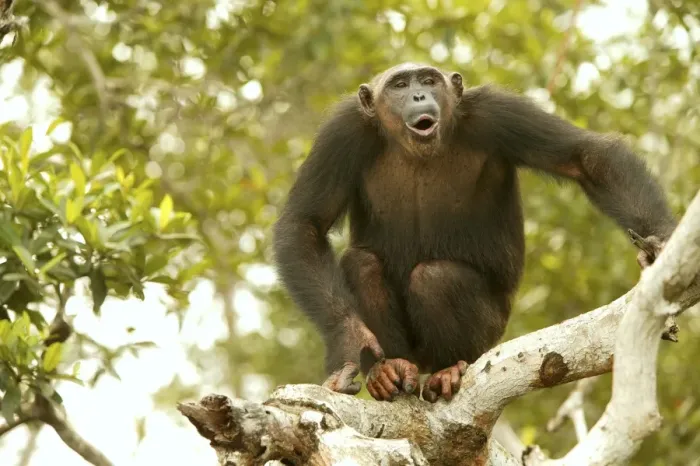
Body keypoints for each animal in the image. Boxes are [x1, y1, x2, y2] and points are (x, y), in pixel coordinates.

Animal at [272, 63, 676, 403]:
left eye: (429, 80)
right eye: (400, 85)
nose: (419, 96)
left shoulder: (499, 113)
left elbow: (586, 157)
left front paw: (660, 243)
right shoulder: (341, 134)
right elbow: (305, 224)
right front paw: (349, 339)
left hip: (489, 333)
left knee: (436, 279)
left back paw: (449, 368)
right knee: (362, 264)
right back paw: (389, 370)